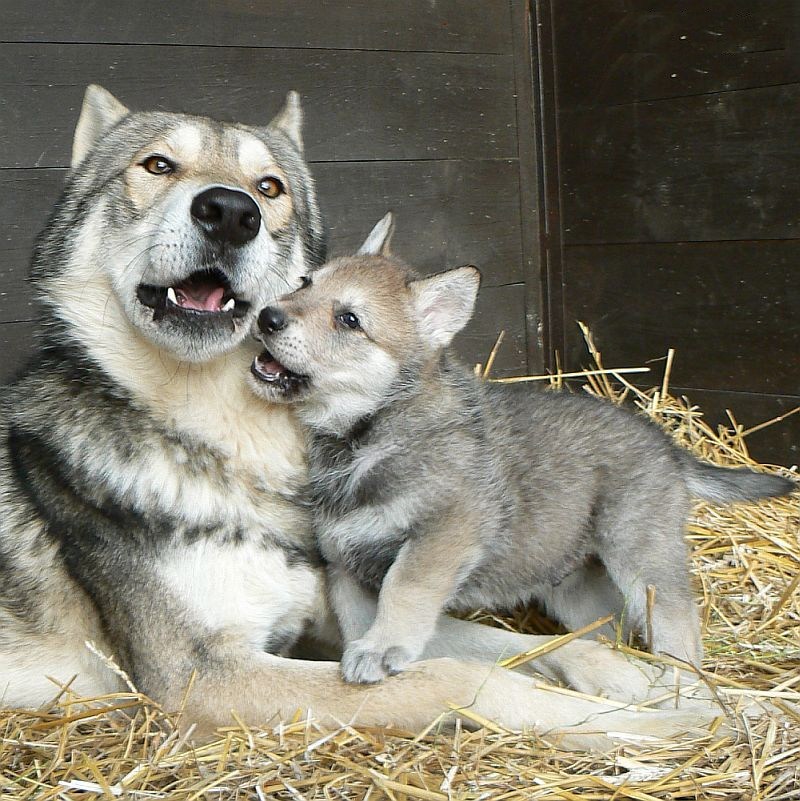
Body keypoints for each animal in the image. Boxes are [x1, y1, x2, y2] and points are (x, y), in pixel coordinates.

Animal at [250, 228, 792, 684]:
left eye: (349, 319)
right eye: (303, 283)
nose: (266, 316)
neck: (367, 434)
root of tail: (669, 447)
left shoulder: (442, 536)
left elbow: (405, 591)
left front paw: (383, 649)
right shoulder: (347, 566)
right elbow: (360, 618)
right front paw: (370, 649)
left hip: (640, 555)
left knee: (679, 620)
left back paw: (680, 683)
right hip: (572, 584)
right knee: (609, 628)